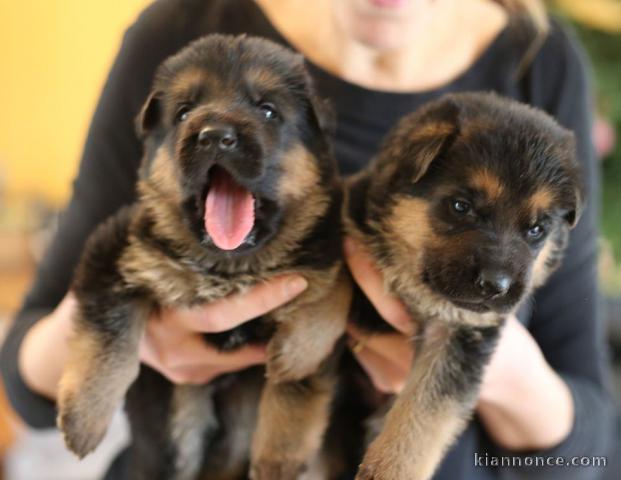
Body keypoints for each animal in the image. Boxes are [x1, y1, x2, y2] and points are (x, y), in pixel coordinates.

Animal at [56, 34, 352, 480]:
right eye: (183, 112)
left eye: (268, 110)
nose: (215, 136)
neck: (228, 266)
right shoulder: (114, 250)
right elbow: (107, 337)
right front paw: (83, 419)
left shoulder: (324, 257)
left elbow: (299, 380)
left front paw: (277, 458)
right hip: (183, 411)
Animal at [344, 93, 580, 480]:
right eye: (460, 206)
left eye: (536, 230)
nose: (496, 285)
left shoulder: (463, 337)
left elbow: (424, 413)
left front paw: (390, 469)